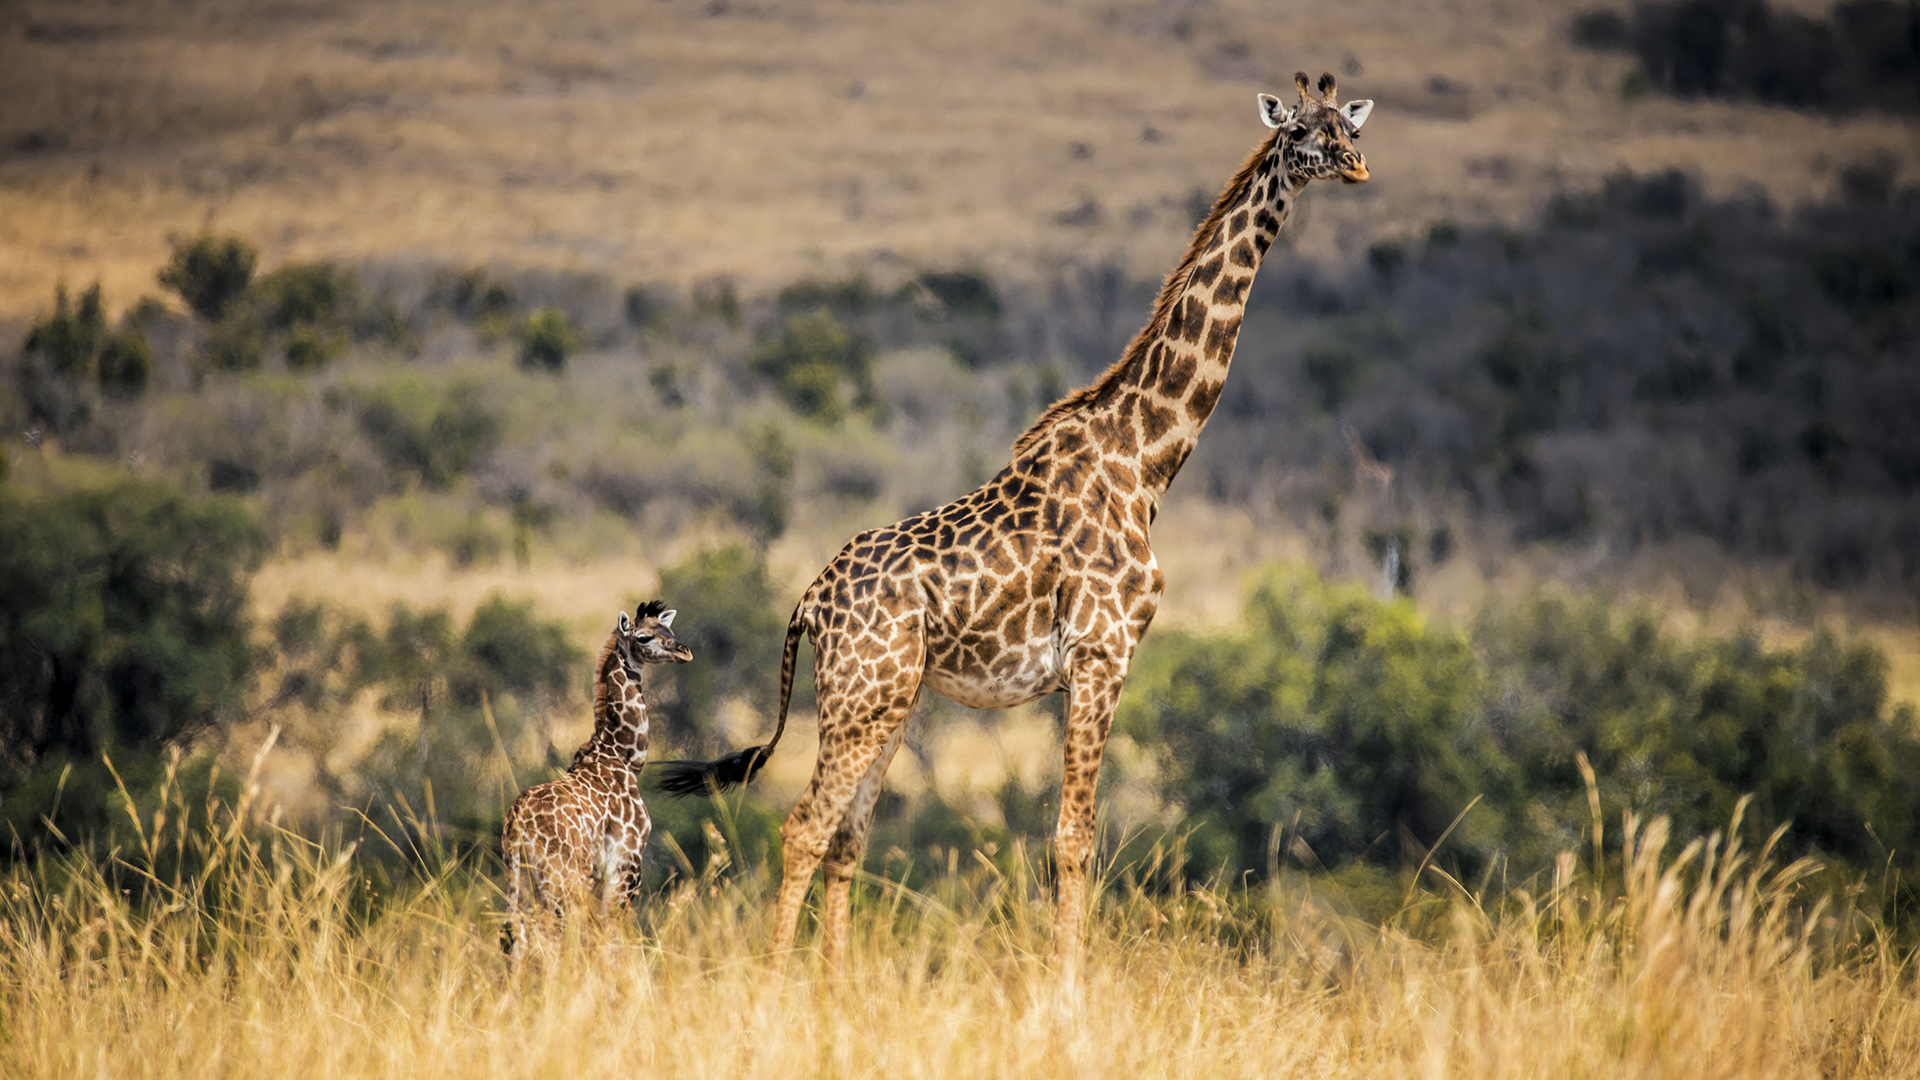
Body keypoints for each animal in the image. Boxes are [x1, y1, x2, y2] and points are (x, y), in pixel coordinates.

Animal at [501, 601, 691, 961]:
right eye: (644, 637)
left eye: (669, 629)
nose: (684, 651)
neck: (623, 758)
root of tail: (517, 823)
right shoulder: (626, 861)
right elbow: (612, 933)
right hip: (561, 878)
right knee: (549, 933)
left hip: (518, 875)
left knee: (514, 932)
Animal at [659, 73, 1374, 982]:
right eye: (1301, 135)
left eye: (1347, 125)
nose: (1355, 165)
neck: (1146, 459)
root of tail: (807, 604)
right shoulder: (1103, 655)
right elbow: (1073, 839)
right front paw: (1070, 994)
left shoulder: (1087, 667)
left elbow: (1069, 837)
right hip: (863, 696)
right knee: (806, 827)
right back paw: (780, 986)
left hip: (887, 700)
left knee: (848, 837)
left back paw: (835, 990)